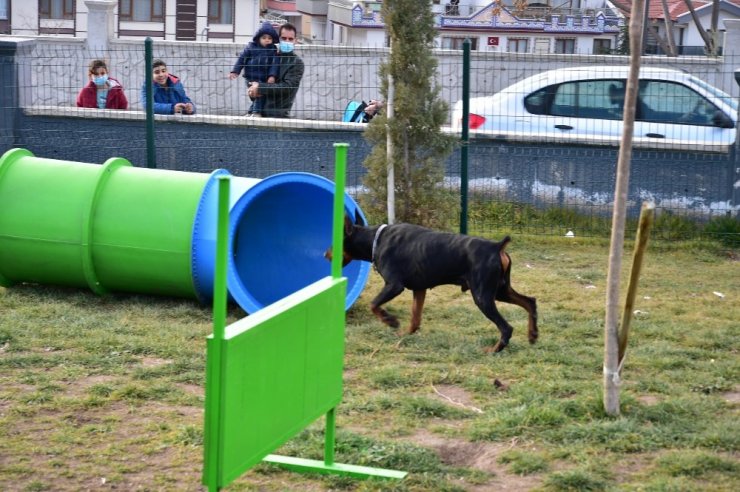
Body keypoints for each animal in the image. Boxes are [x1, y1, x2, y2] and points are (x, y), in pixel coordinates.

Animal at [326, 213, 536, 352]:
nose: (325, 254)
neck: (376, 240)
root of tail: (496, 246)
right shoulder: (419, 289)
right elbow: (415, 318)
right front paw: (405, 334)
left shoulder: (394, 285)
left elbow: (374, 304)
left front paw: (390, 321)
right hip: (500, 290)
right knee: (530, 301)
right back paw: (533, 335)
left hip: (483, 296)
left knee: (506, 327)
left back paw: (494, 349)